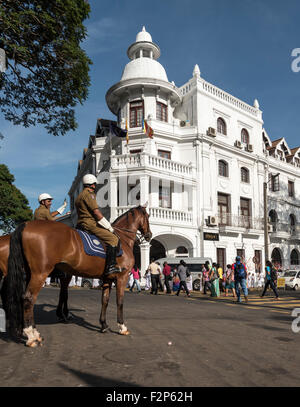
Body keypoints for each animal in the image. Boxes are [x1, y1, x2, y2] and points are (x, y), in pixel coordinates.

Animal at [1, 207, 152, 348]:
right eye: (148, 216)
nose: (149, 235)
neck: (122, 239)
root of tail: (25, 225)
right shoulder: (122, 277)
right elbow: (119, 302)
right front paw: (122, 326)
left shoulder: (107, 279)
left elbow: (104, 301)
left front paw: (103, 325)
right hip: (39, 274)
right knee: (28, 298)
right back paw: (31, 335)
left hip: (27, 274)